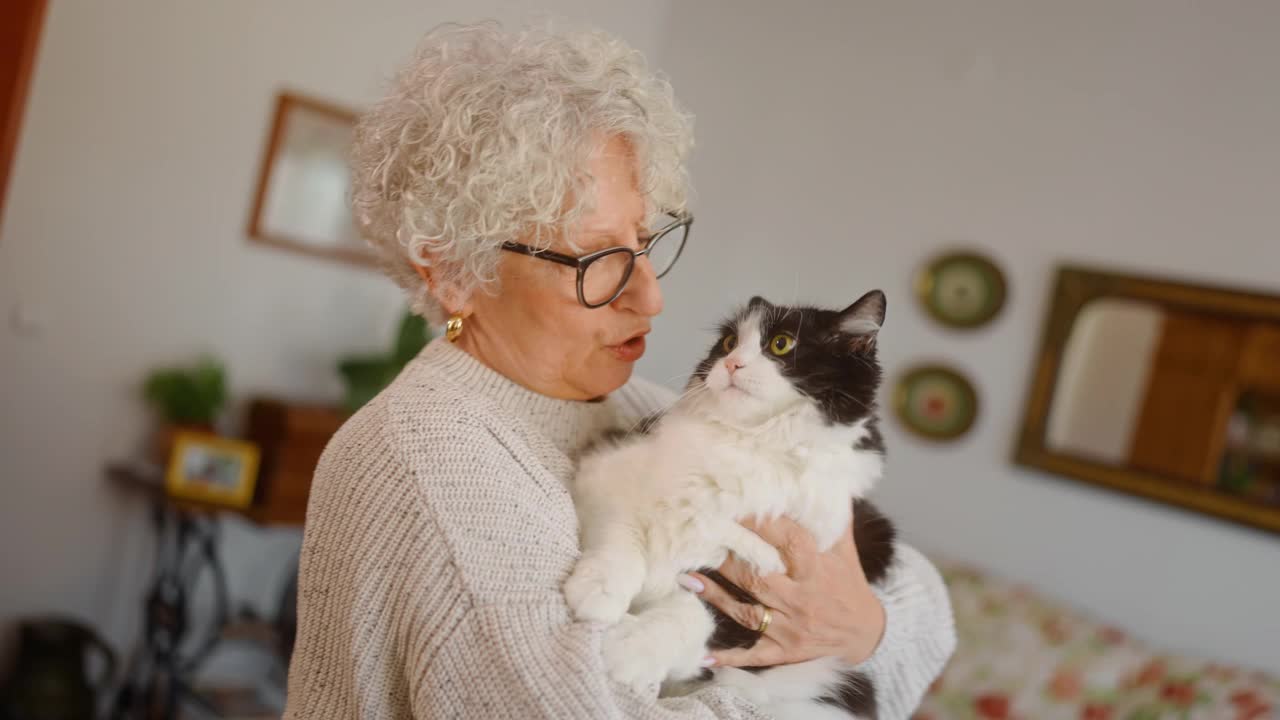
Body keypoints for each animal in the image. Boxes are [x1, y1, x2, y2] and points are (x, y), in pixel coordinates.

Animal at [565, 288, 896, 712]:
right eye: (727, 343)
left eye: (781, 343)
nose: (731, 363)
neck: (751, 444)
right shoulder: (605, 472)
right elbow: (622, 542)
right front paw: (600, 594)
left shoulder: (752, 597)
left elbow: (693, 618)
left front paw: (626, 651)